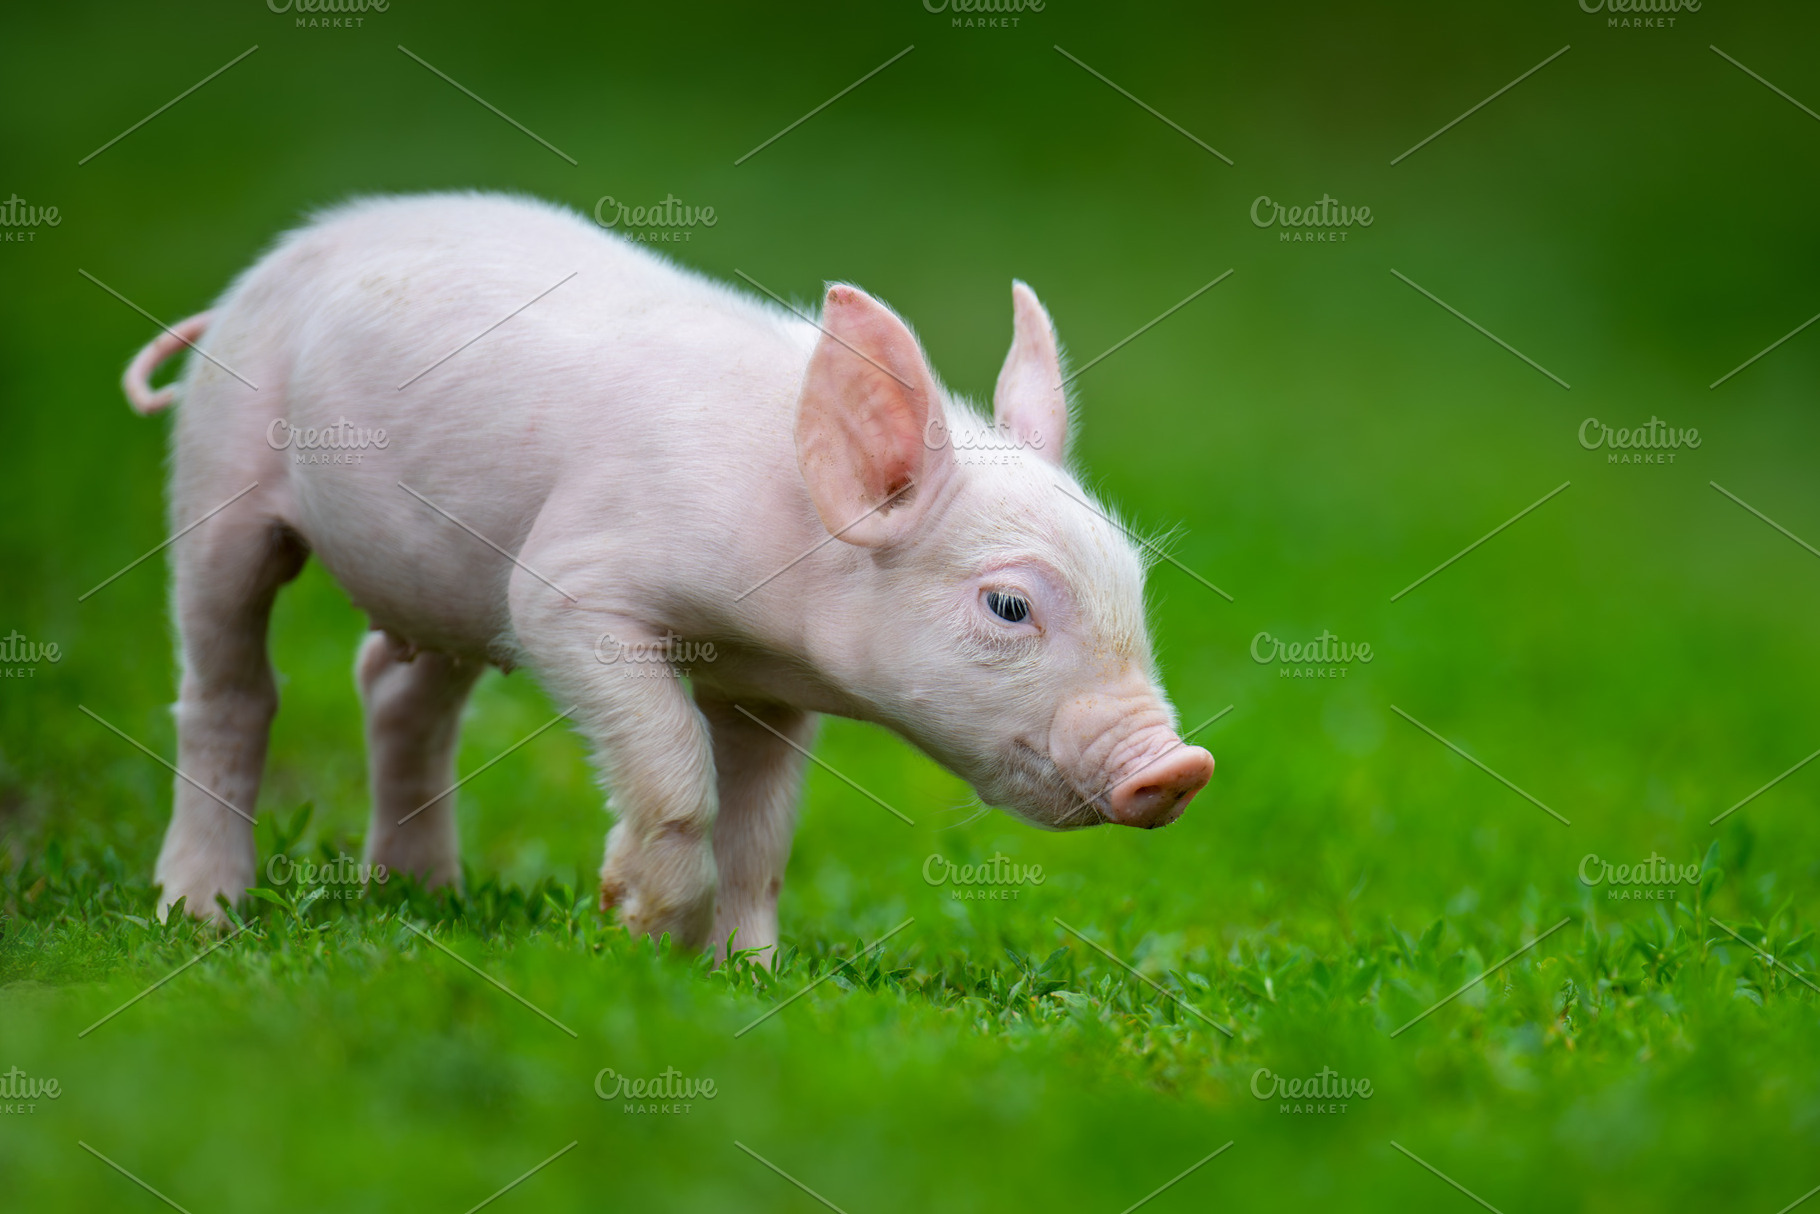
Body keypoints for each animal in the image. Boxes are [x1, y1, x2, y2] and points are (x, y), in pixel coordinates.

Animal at [121, 192, 1214, 958]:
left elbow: (763, 838)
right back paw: (201, 912)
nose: (1177, 765)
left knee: (396, 690)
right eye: (1009, 604)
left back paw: (424, 897)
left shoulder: (770, 689)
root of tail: (254, 278)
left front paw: (743, 970)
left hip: (440, 576)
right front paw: (638, 929)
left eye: (1135, 590)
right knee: (229, 689)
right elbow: (677, 768)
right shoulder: (566, 590)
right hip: (218, 474)